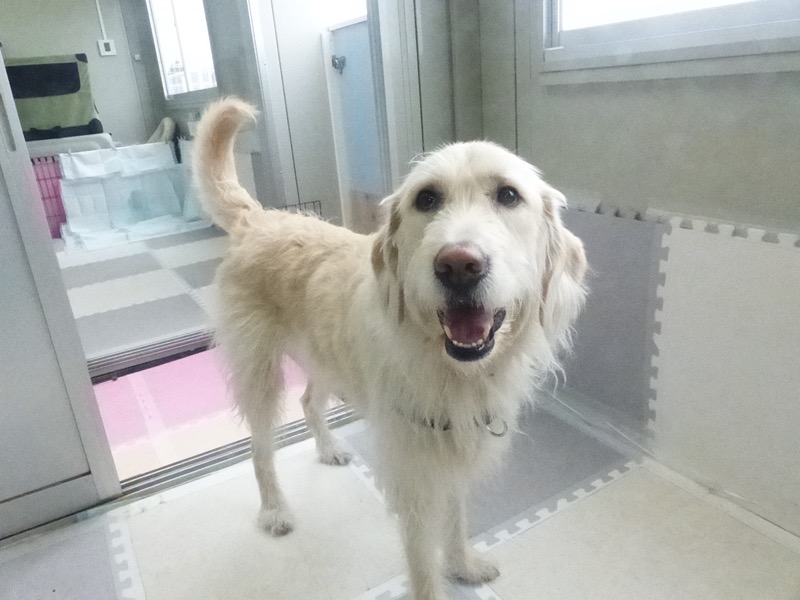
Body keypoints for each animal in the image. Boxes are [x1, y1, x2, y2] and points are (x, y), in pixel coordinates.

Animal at [193, 98, 587, 600]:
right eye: (427, 199)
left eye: (509, 195)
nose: (458, 265)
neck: (451, 368)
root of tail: (259, 219)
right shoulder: (413, 471)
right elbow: (422, 561)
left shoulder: (453, 449)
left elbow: (456, 519)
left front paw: (462, 565)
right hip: (258, 371)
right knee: (260, 448)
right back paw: (275, 510)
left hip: (325, 358)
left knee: (308, 401)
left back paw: (328, 448)